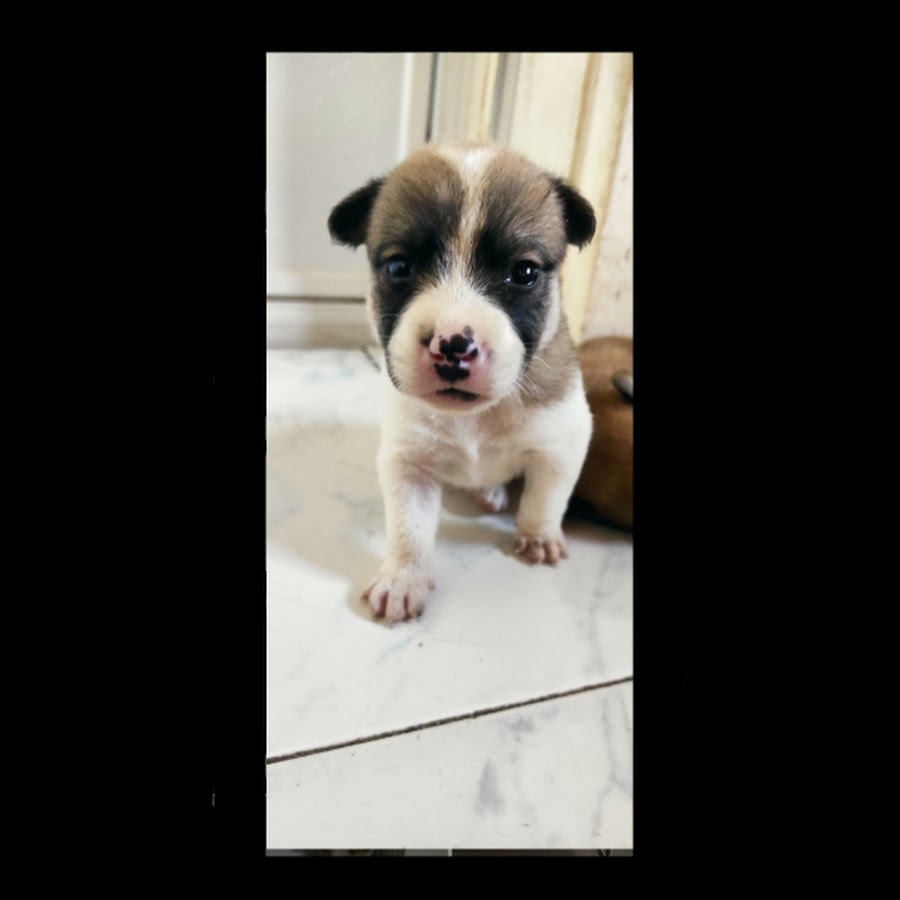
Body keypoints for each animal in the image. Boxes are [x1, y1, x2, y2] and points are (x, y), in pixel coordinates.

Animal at [328, 143, 596, 621]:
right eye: (398, 267)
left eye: (524, 273)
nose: (453, 345)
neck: (477, 416)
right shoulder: (408, 465)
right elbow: (409, 528)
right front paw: (404, 576)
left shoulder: (562, 444)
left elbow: (547, 497)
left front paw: (539, 534)